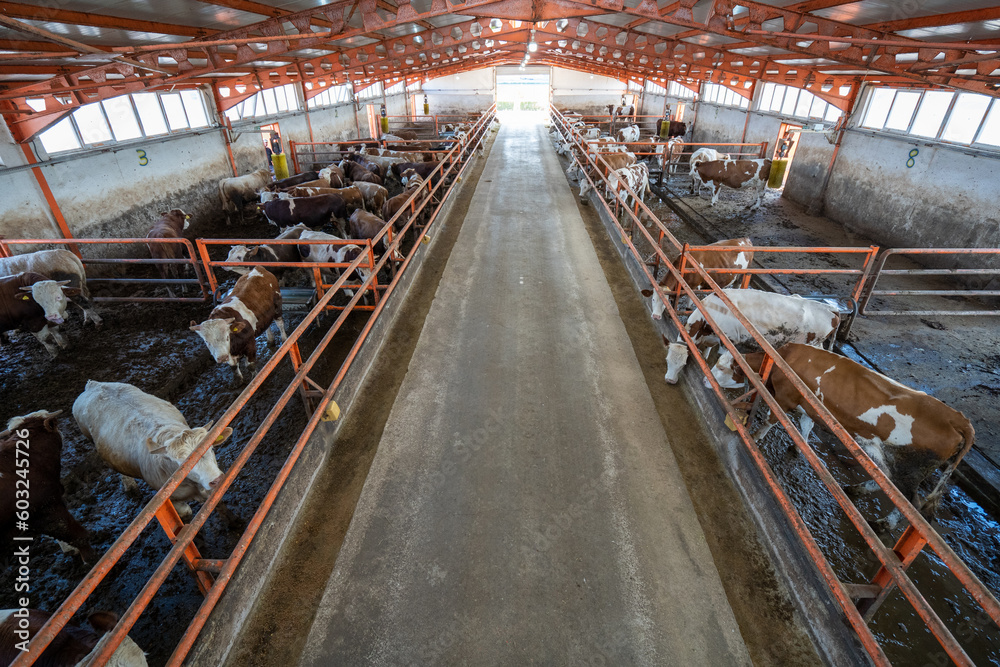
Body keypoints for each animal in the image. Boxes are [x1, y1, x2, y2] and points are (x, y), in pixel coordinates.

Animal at [73, 380, 231, 520]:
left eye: (211, 448)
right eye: (183, 464)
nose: (216, 480)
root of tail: (93, 384)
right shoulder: (173, 502)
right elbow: (185, 516)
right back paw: (130, 486)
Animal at [740, 348, 972, 528]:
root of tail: (957, 418)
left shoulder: (785, 397)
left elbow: (770, 419)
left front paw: (755, 436)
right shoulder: (810, 408)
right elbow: (806, 427)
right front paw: (800, 446)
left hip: (909, 470)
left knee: (912, 504)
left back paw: (883, 524)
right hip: (885, 455)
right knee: (888, 482)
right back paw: (856, 489)